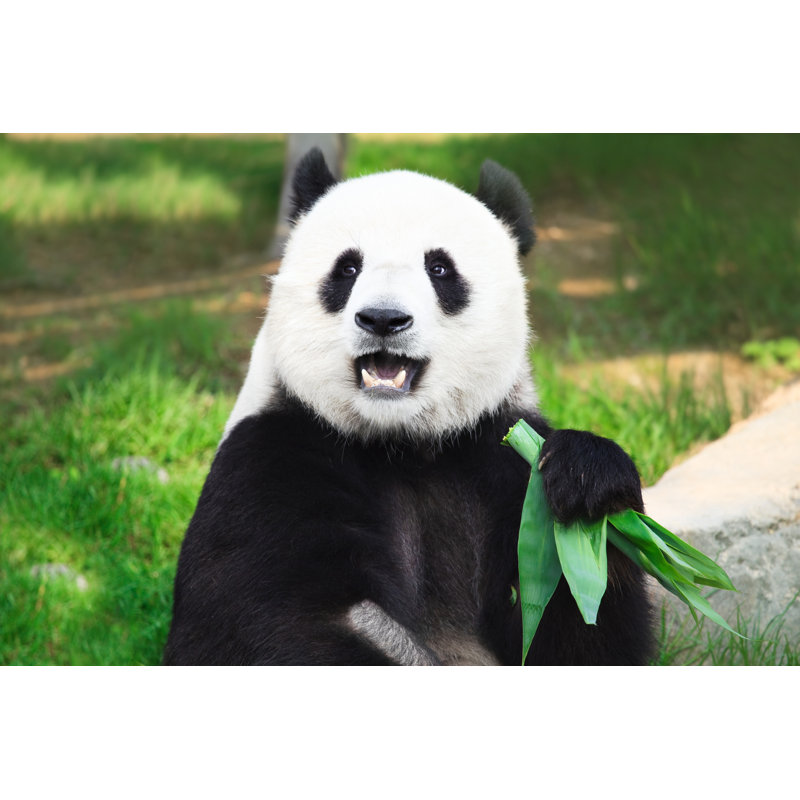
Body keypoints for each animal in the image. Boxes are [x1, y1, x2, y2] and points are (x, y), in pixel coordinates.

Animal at [163, 148, 654, 666]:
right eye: (347, 269)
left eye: (439, 269)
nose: (383, 319)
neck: (401, 441)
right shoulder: (273, 460)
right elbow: (259, 625)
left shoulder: (499, 457)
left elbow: (580, 624)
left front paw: (587, 477)